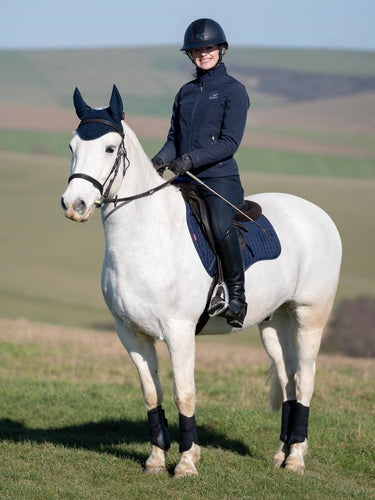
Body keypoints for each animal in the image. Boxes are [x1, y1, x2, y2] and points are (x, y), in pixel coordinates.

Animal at [61, 86, 344, 476]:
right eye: (72, 146)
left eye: (109, 148)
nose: (74, 204)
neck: (145, 237)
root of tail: (319, 215)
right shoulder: (130, 333)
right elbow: (152, 393)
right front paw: (155, 460)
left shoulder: (179, 331)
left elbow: (184, 393)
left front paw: (186, 463)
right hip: (274, 322)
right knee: (288, 379)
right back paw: (281, 454)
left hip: (309, 316)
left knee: (305, 380)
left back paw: (296, 460)